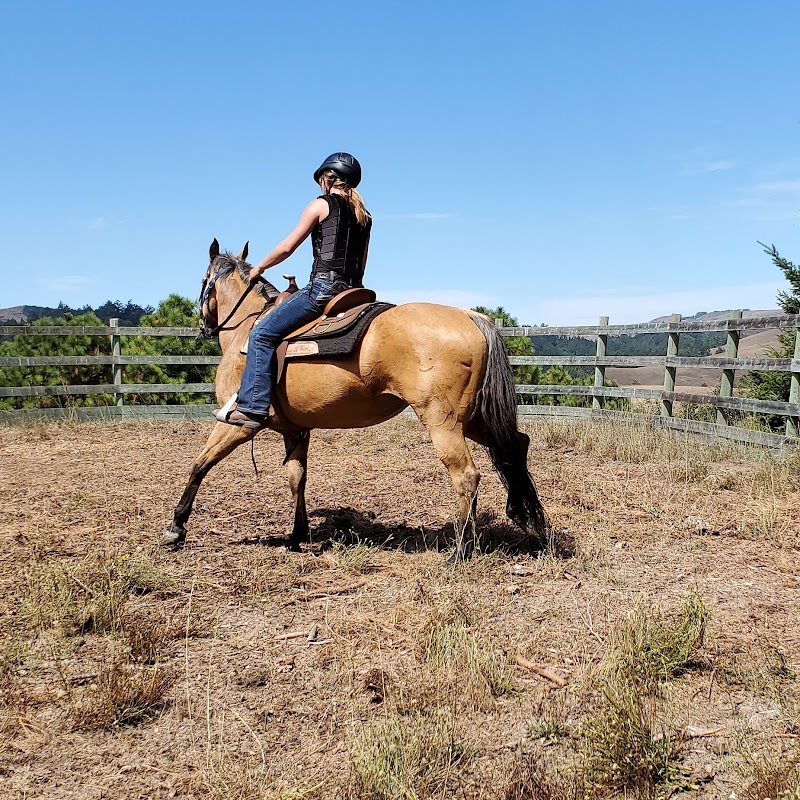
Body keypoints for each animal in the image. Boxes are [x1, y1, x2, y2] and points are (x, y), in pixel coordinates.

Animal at [162, 239, 547, 561]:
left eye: (204, 281)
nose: (203, 326)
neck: (248, 329)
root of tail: (471, 316)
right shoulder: (296, 429)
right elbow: (297, 477)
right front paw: (297, 535)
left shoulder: (238, 424)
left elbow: (200, 464)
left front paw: (176, 528)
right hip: (476, 418)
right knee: (515, 446)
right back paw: (529, 522)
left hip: (444, 421)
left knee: (467, 475)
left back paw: (461, 549)